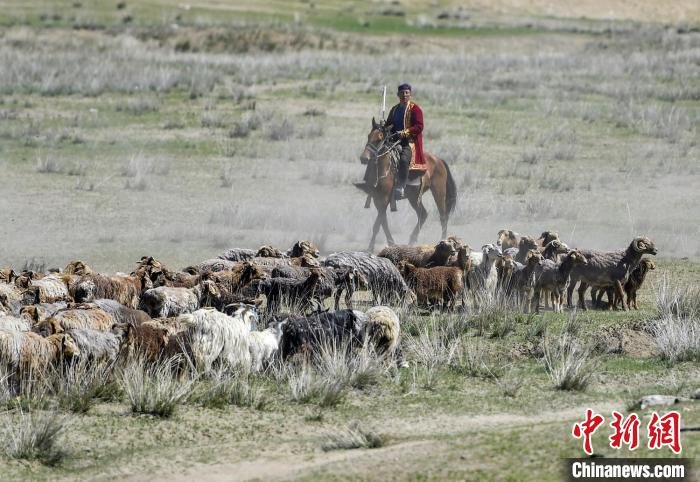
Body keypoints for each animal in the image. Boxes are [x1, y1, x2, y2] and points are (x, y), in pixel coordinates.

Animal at [358, 117, 456, 252]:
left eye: (379, 138)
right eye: (369, 136)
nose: (364, 158)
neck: (383, 168)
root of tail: (439, 160)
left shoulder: (384, 199)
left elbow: (378, 224)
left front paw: (370, 248)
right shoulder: (376, 199)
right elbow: (383, 222)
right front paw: (391, 243)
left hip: (439, 192)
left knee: (443, 217)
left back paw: (442, 241)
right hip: (413, 197)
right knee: (423, 214)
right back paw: (411, 241)